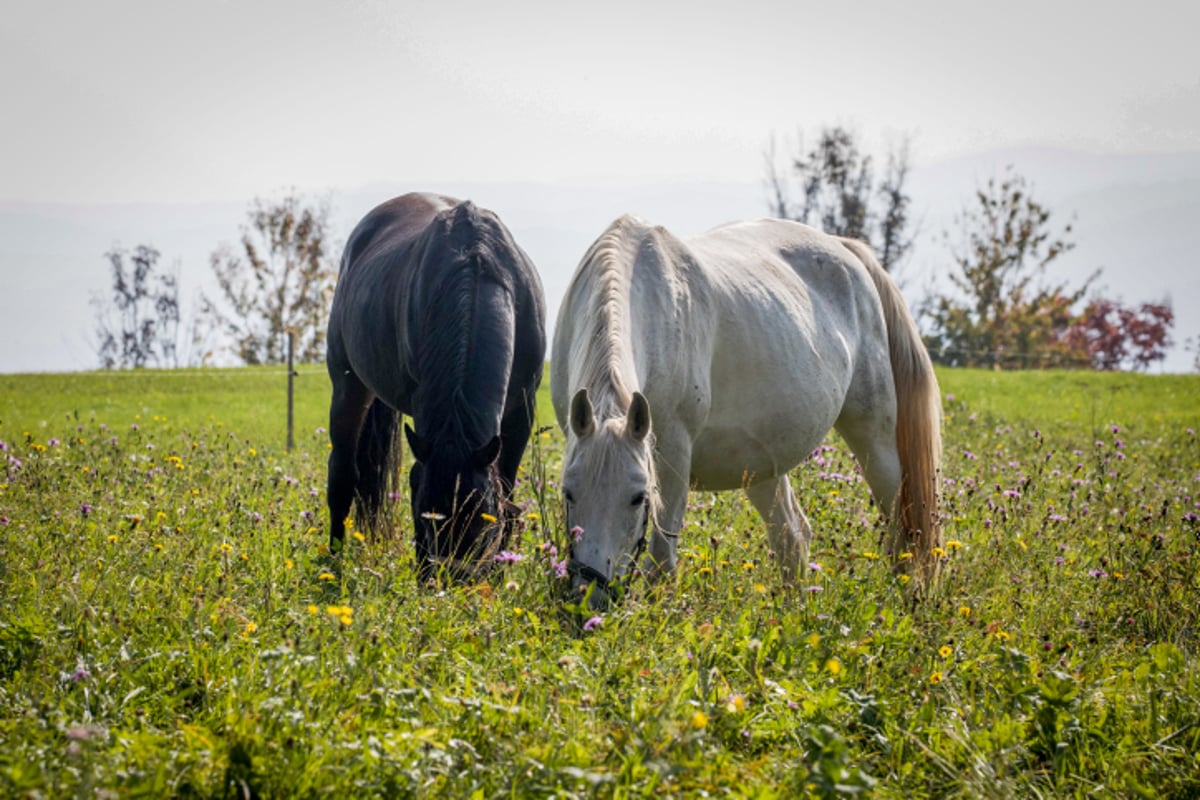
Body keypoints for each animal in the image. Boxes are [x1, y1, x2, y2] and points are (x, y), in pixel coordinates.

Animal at [326, 195, 547, 582]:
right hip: (347, 385)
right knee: (342, 478)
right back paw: (334, 566)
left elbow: (506, 489)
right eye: (422, 512)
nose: (448, 583)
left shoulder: (522, 411)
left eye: (481, 517)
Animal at [552, 212, 945, 606]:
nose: (590, 597)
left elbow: (661, 562)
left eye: (638, 498)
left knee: (902, 529)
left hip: (875, 441)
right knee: (792, 536)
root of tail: (845, 249)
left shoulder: (673, 459)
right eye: (569, 492)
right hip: (764, 466)